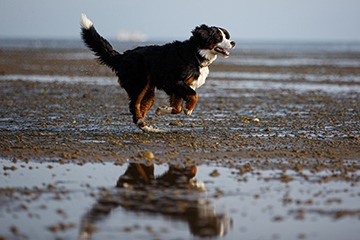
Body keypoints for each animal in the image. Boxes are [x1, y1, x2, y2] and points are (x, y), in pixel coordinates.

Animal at [80, 14, 235, 132]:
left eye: (226, 36)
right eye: (219, 37)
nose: (233, 42)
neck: (196, 53)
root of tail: (123, 55)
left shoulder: (178, 88)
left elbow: (177, 107)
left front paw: (162, 110)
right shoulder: (174, 81)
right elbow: (193, 95)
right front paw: (189, 109)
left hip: (148, 91)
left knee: (140, 107)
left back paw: (146, 127)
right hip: (140, 83)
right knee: (134, 106)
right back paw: (142, 123)